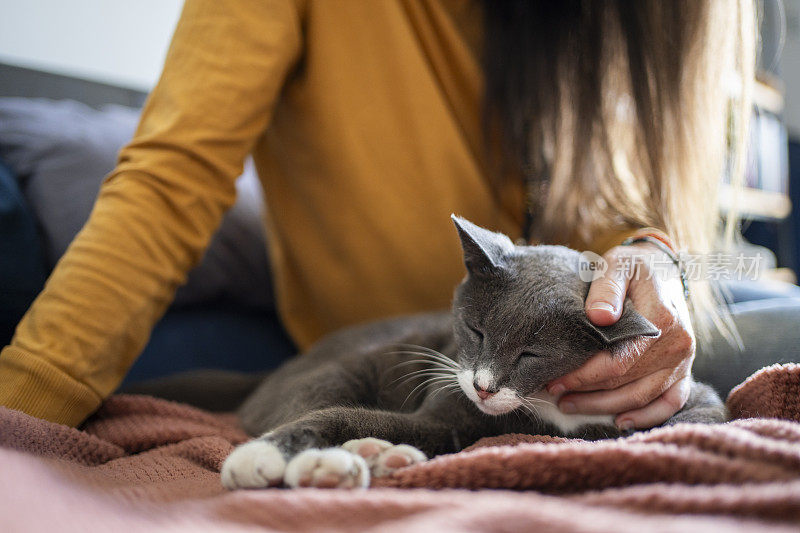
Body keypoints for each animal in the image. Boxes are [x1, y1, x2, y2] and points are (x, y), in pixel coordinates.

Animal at [222, 214, 728, 488]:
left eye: (532, 355)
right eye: (476, 330)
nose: (483, 387)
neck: (547, 404)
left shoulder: (691, 394)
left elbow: (704, 418)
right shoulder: (449, 404)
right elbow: (338, 416)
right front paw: (263, 455)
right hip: (348, 367)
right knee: (305, 402)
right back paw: (329, 465)